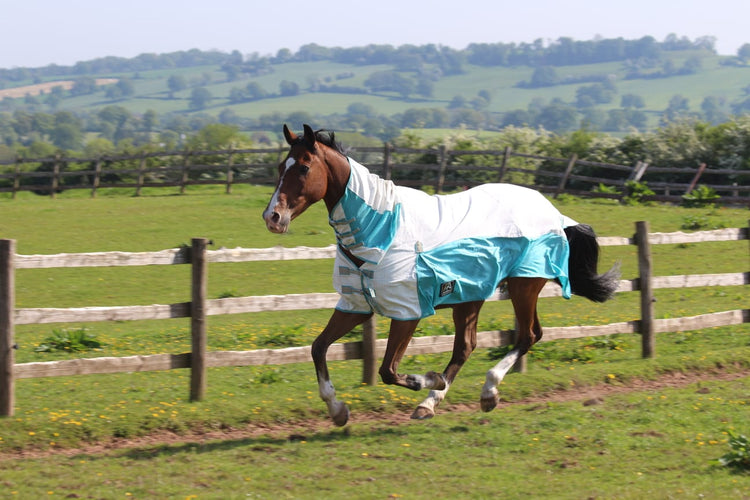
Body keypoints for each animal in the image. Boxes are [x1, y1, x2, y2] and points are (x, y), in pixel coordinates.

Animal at [263, 124, 620, 426]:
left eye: (304, 167)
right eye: (281, 167)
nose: (273, 217)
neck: (380, 230)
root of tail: (555, 215)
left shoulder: (408, 312)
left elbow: (388, 370)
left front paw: (429, 378)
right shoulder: (356, 306)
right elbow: (318, 348)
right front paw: (338, 411)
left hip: (523, 286)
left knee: (528, 335)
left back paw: (485, 391)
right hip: (471, 295)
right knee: (467, 346)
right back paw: (431, 403)